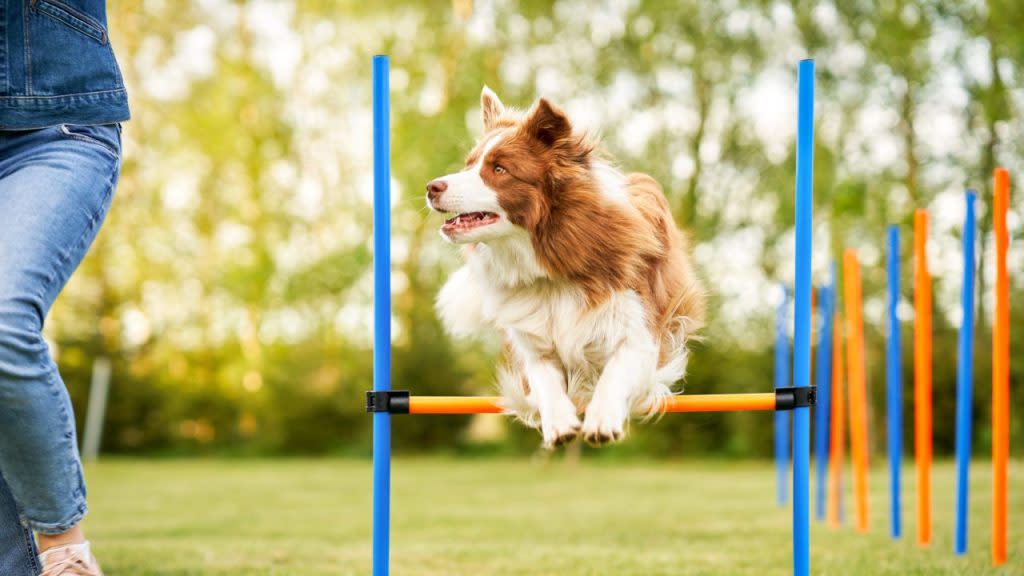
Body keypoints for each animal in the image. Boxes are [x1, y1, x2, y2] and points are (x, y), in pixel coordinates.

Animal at [423, 87, 704, 446]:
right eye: (469, 165)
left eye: (499, 169)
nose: (432, 187)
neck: (548, 267)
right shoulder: (532, 342)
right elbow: (543, 379)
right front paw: (559, 422)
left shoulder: (640, 332)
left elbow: (617, 370)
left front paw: (602, 418)